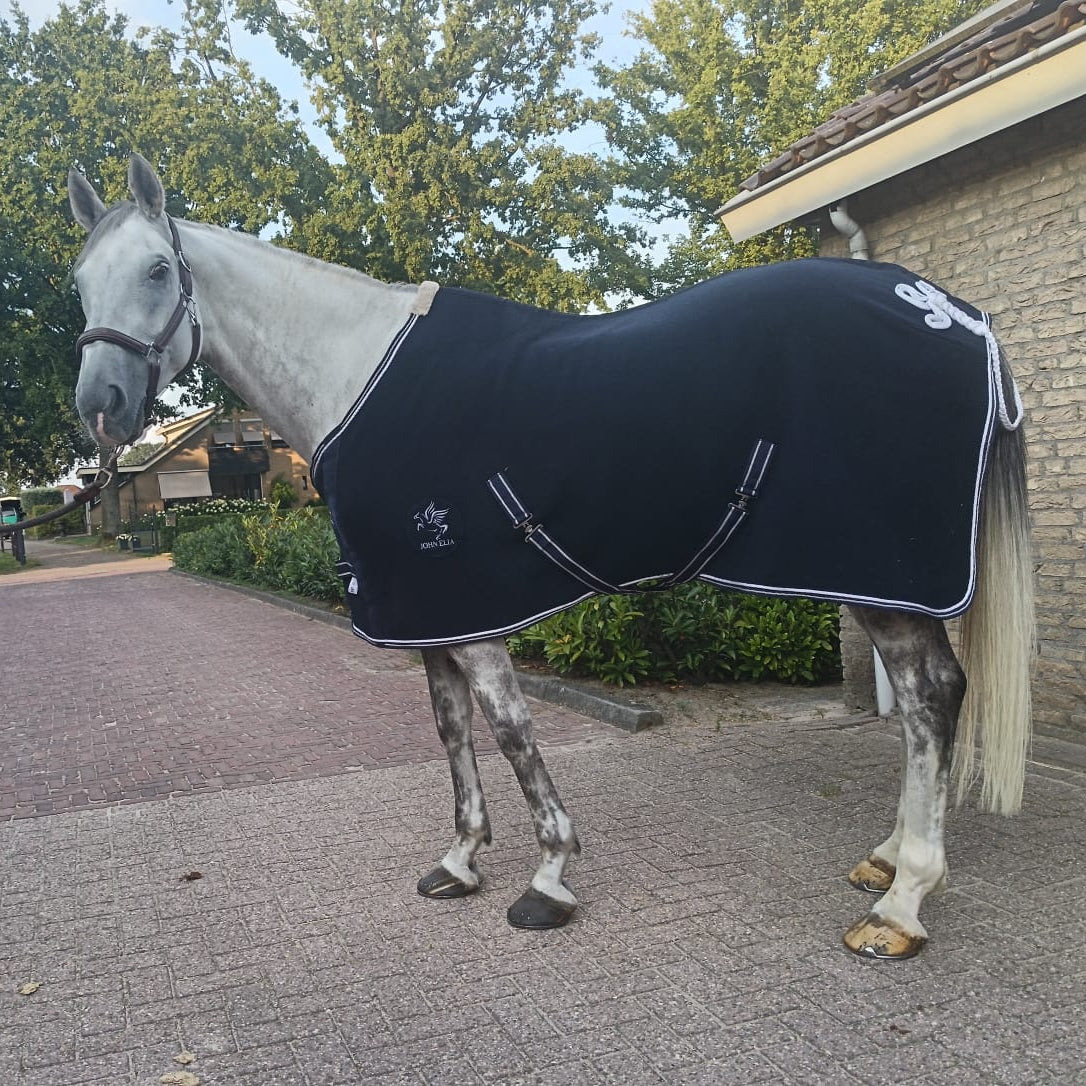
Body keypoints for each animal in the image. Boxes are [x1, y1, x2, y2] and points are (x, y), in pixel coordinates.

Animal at [67, 154, 1034, 959]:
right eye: (80, 280)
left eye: (158, 270)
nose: (102, 405)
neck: (360, 377)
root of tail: (961, 317)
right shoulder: (424, 607)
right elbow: (452, 730)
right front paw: (461, 860)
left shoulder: (470, 606)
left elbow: (509, 729)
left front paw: (549, 876)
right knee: (924, 703)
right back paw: (887, 863)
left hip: (887, 577)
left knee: (930, 697)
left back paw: (900, 905)